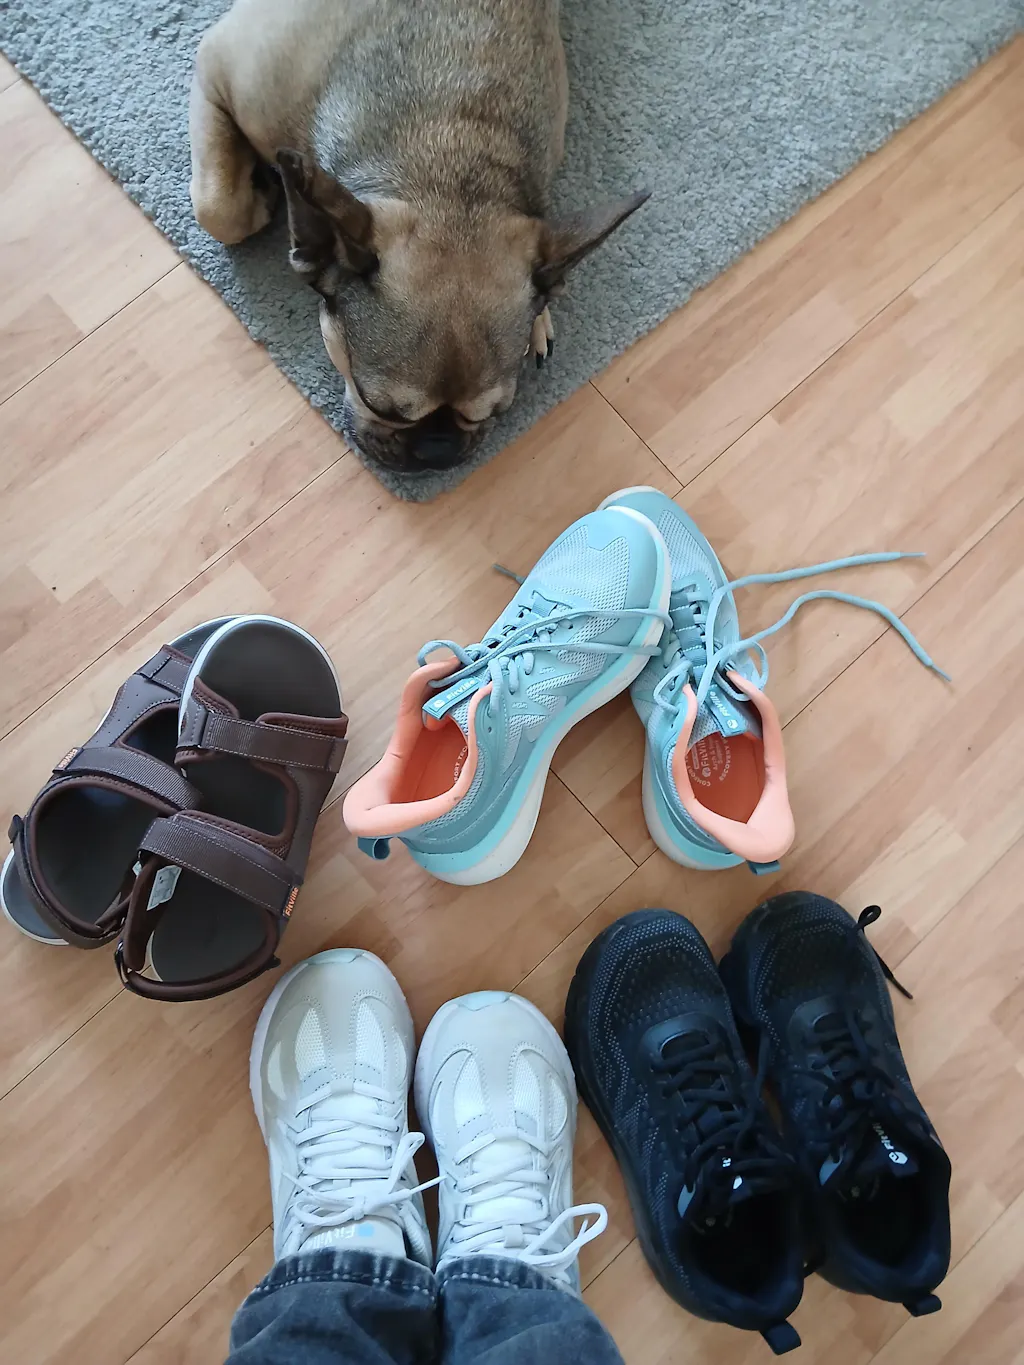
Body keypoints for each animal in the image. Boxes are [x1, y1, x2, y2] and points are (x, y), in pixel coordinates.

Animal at [189, 0, 648, 475]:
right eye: (377, 404)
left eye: (494, 413)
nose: (437, 451)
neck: (451, 156)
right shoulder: (214, 66)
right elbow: (218, 209)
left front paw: (540, 315)